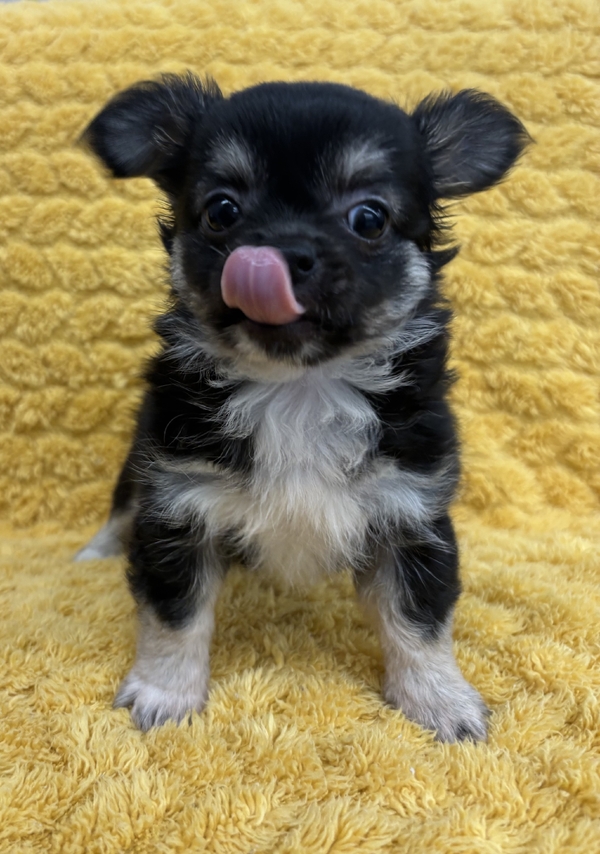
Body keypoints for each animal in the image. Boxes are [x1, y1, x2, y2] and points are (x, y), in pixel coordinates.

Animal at [76, 73, 529, 739]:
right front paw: (165, 694)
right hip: (143, 460)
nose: (282, 253)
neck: (299, 389)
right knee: (121, 508)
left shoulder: (411, 513)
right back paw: (96, 552)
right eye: (222, 211)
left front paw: (440, 701)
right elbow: (175, 615)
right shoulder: (177, 506)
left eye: (369, 218)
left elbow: (419, 622)